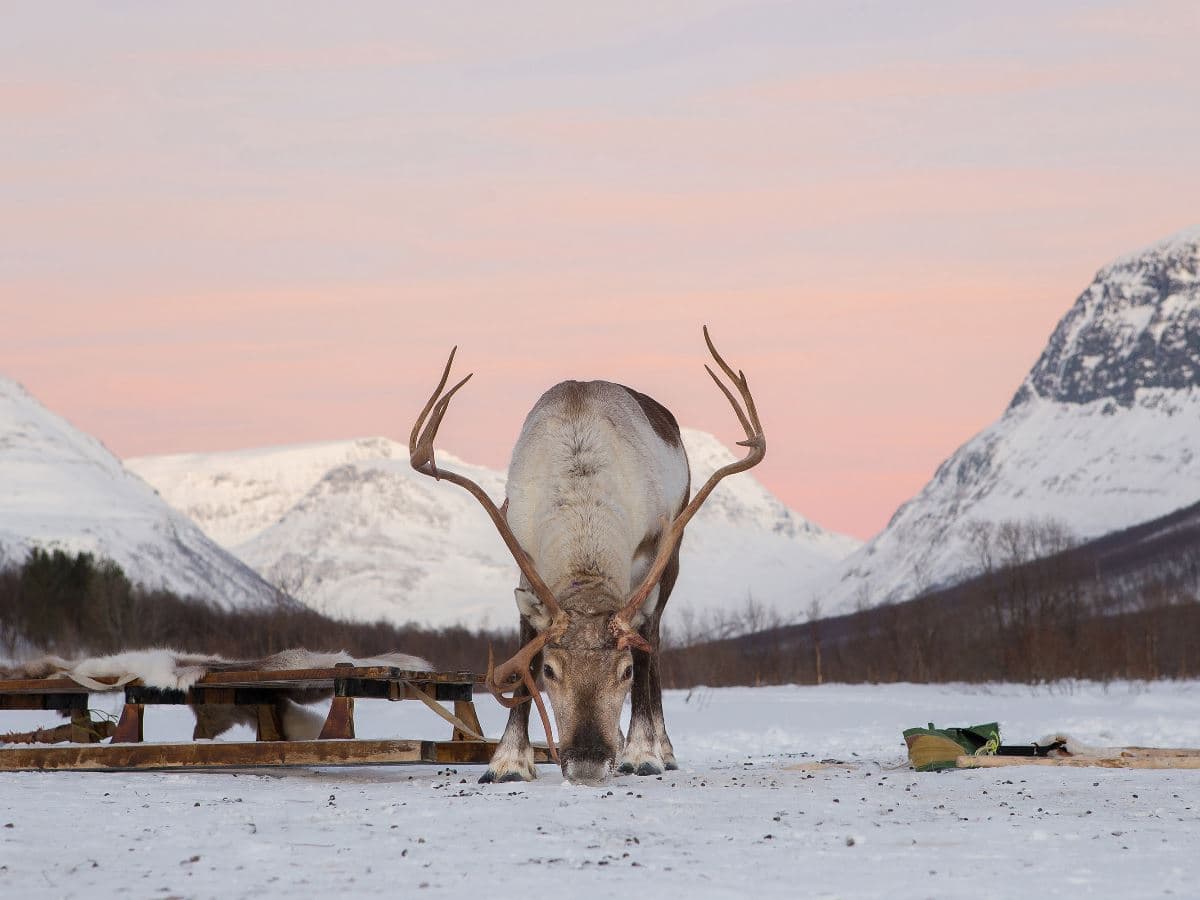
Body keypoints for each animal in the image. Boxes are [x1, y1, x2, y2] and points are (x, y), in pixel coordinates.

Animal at [409, 327, 765, 784]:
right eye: (549, 670)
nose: (588, 763)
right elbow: (525, 644)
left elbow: (645, 650)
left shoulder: (650, 553)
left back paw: (659, 749)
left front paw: (641, 754)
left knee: (656, 642)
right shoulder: (526, 557)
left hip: (674, 555)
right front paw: (508, 762)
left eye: (624, 670)